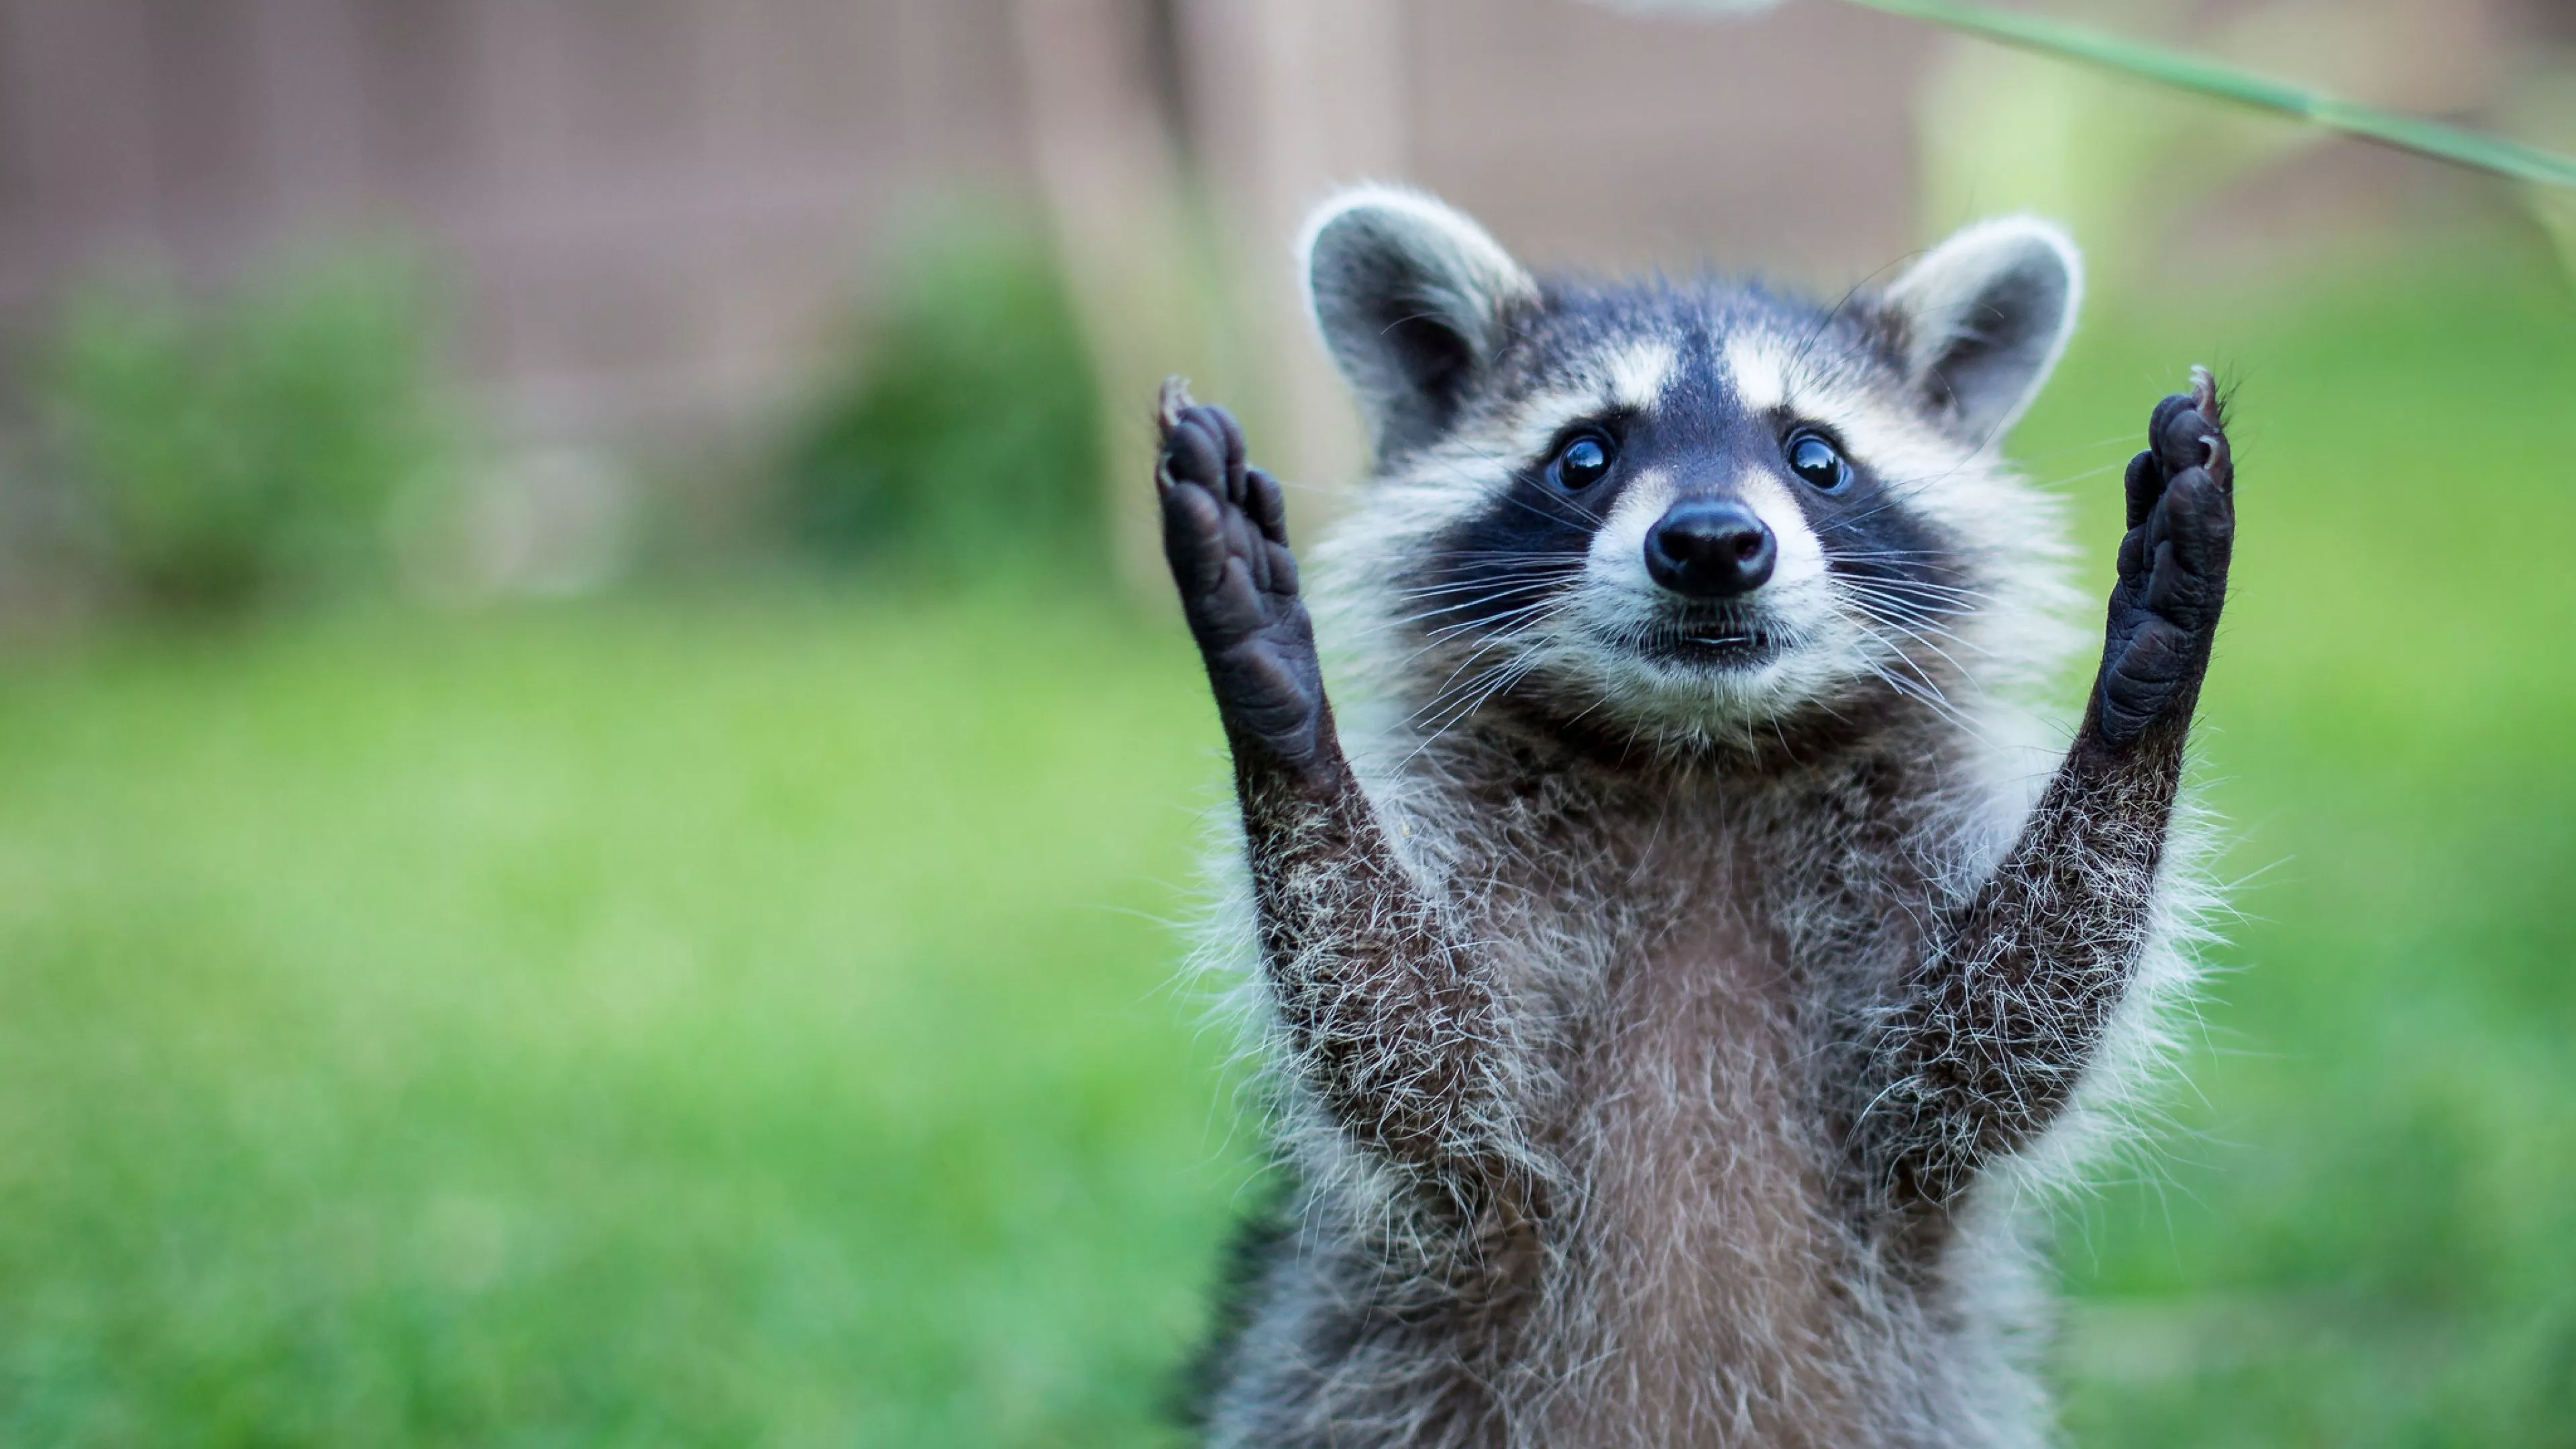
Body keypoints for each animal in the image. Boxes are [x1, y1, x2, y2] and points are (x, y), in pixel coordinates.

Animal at [1157, 186, 2235, 1448]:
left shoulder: (1907, 881)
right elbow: (1414, 1047)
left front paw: (2142, 696)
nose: (1713, 542)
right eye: (1585, 454)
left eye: (1817, 456)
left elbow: (1995, 1036)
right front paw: (1283, 713)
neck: (1701, 760)